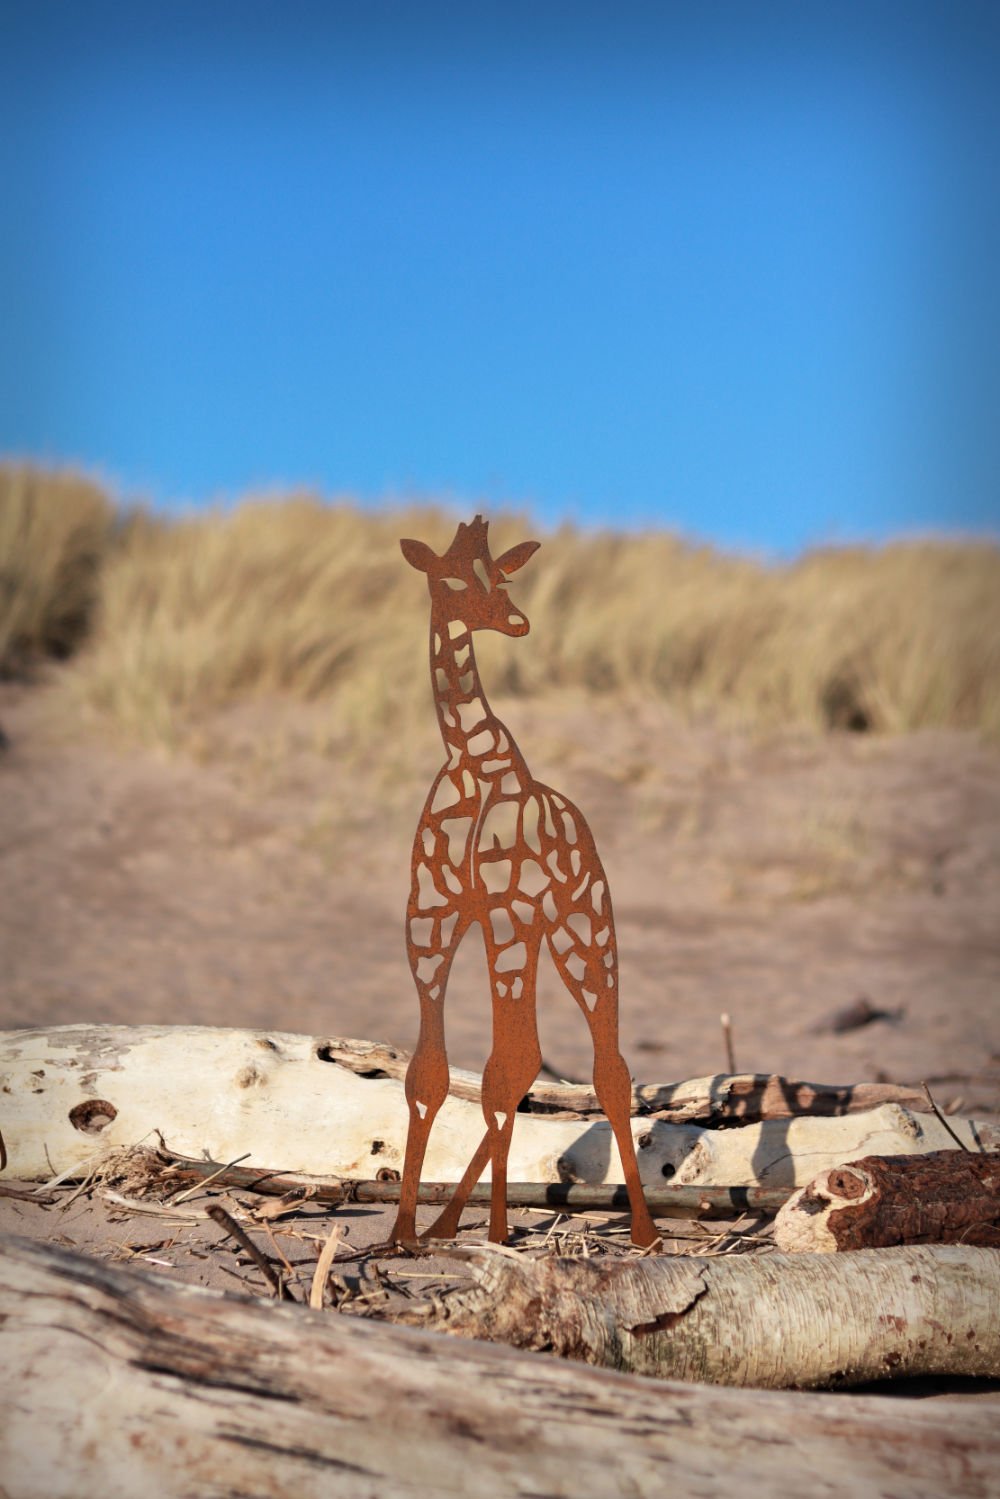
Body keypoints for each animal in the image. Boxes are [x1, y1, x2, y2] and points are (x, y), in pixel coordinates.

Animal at [390, 515, 659, 1250]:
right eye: (451, 580)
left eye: (501, 576)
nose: (516, 621)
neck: (470, 757)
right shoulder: (432, 920)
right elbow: (428, 1074)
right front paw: (403, 1233)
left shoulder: (502, 914)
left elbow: (495, 1071)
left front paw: (496, 1232)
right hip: (539, 931)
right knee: (533, 1057)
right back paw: (449, 1220)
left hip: (583, 925)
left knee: (606, 1066)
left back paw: (645, 1233)